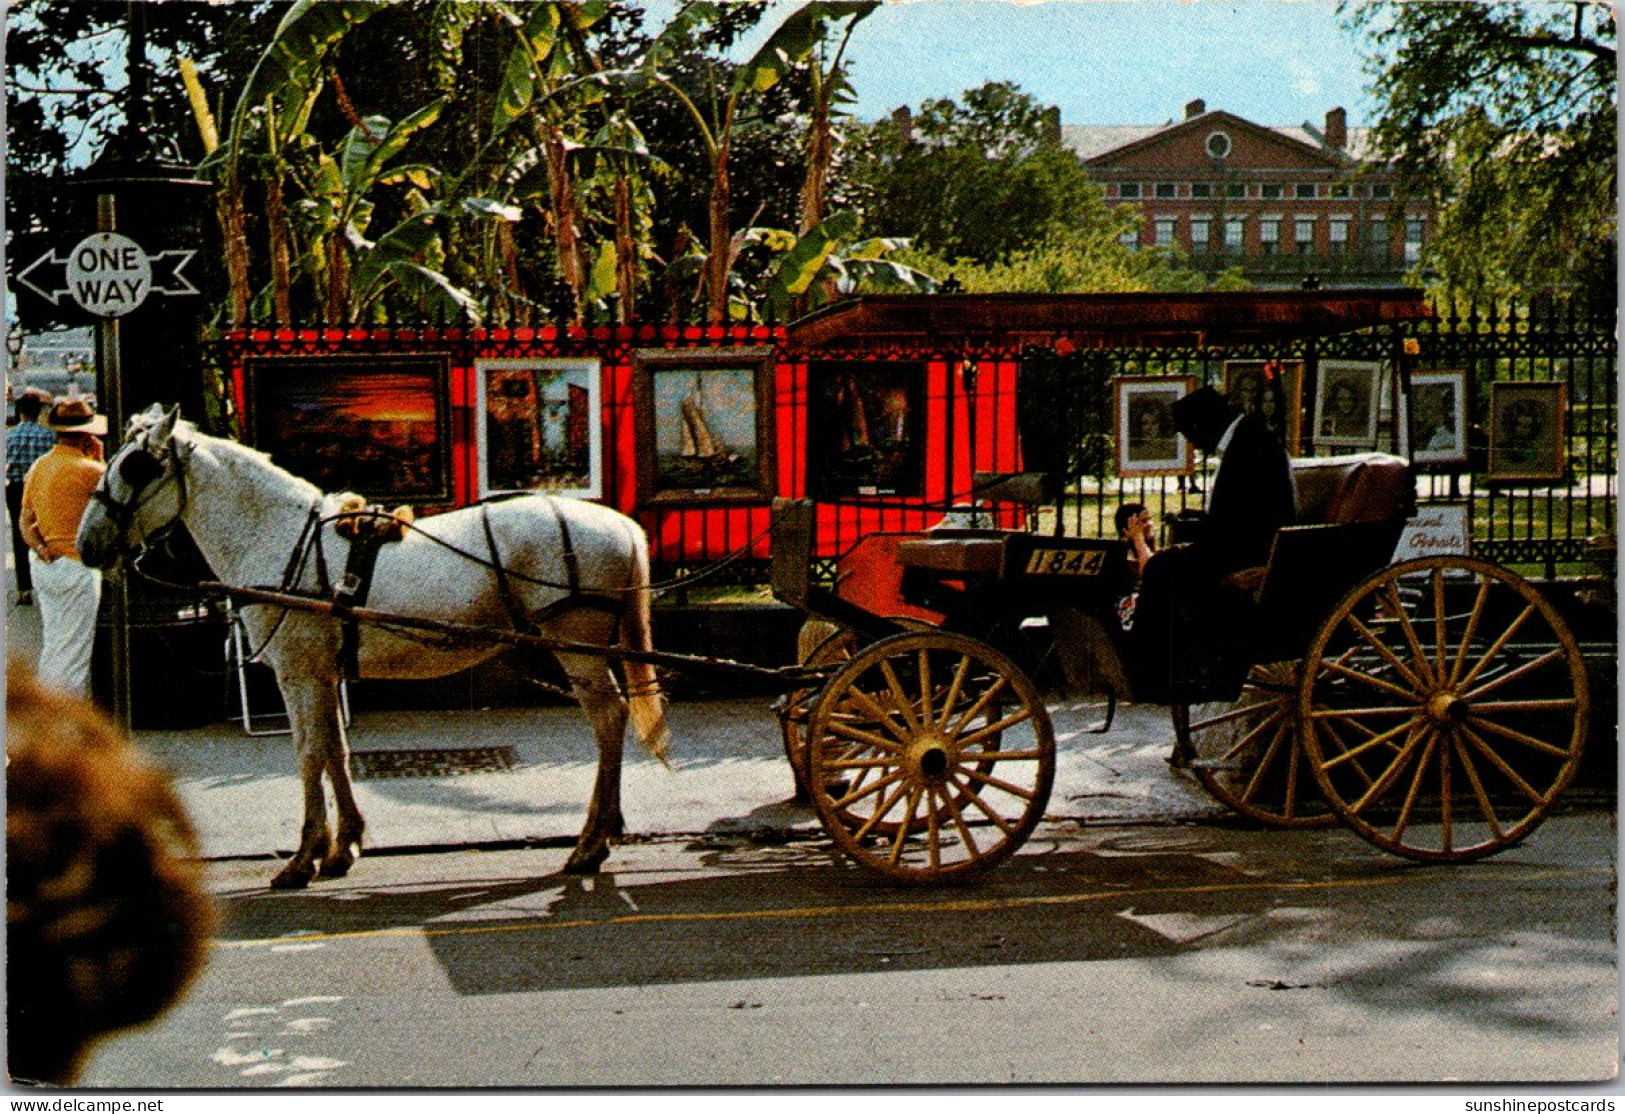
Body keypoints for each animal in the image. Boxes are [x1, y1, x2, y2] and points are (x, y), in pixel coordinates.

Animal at [77, 407, 666, 889]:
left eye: (135, 467)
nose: (86, 543)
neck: (281, 537)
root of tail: (621, 524)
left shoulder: (299, 673)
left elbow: (309, 752)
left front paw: (305, 856)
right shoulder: (323, 673)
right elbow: (336, 750)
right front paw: (345, 846)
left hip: (578, 646)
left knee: (607, 719)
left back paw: (590, 844)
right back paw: (602, 834)